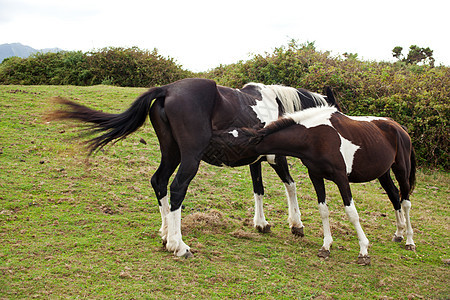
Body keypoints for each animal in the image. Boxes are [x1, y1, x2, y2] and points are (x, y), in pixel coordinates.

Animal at [49, 77, 338, 258]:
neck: (275, 103)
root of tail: (167, 89)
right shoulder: (276, 157)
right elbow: (291, 185)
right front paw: (296, 224)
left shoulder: (255, 159)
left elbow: (258, 189)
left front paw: (261, 223)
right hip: (189, 158)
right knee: (177, 188)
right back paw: (179, 245)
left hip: (171, 153)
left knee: (159, 182)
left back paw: (167, 233)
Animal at [213, 105, 416, 264]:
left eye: (232, 144)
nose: (210, 152)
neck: (315, 137)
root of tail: (399, 127)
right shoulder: (316, 177)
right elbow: (323, 210)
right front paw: (326, 246)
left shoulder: (341, 178)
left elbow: (351, 212)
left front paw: (364, 251)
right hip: (383, 173)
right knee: (394, 195)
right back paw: (399, 233)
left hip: (401, 170)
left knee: (405, 202)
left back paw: (409, 241)